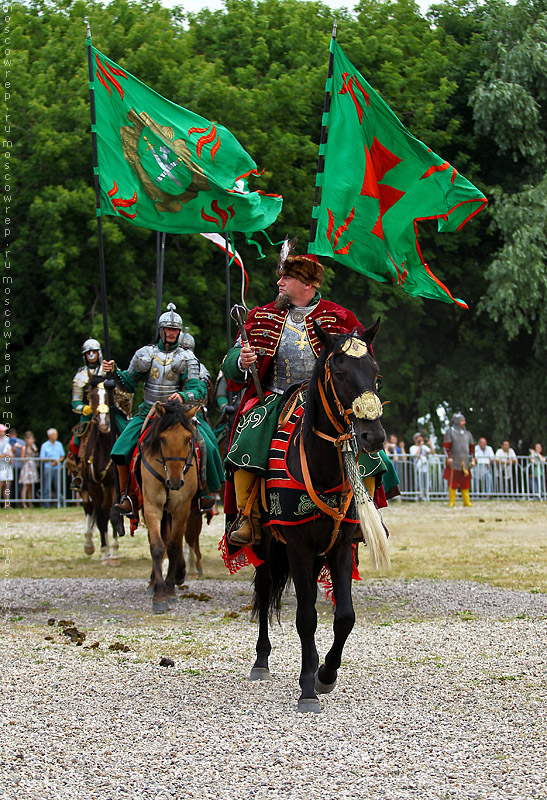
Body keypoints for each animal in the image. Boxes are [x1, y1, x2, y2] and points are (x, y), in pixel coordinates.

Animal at [140, 400, 200, 612]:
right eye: (163, 439)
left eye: (188, 438)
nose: (174, 482)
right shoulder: (151, 506)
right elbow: (157, 546)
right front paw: (159, 595)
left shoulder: (182, 508)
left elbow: (174, 546)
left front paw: (170, 589)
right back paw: (152, 583)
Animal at [250, 318, 388, 712]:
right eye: (339, 374)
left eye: (375, 373)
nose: (373, 436)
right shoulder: (296, 545)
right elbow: (306, 617)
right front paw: (308, 688)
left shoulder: (341, 546)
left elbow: (344, 617)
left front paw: (325, 674)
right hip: (268, 544)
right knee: (266, 588)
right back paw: (261, 660)